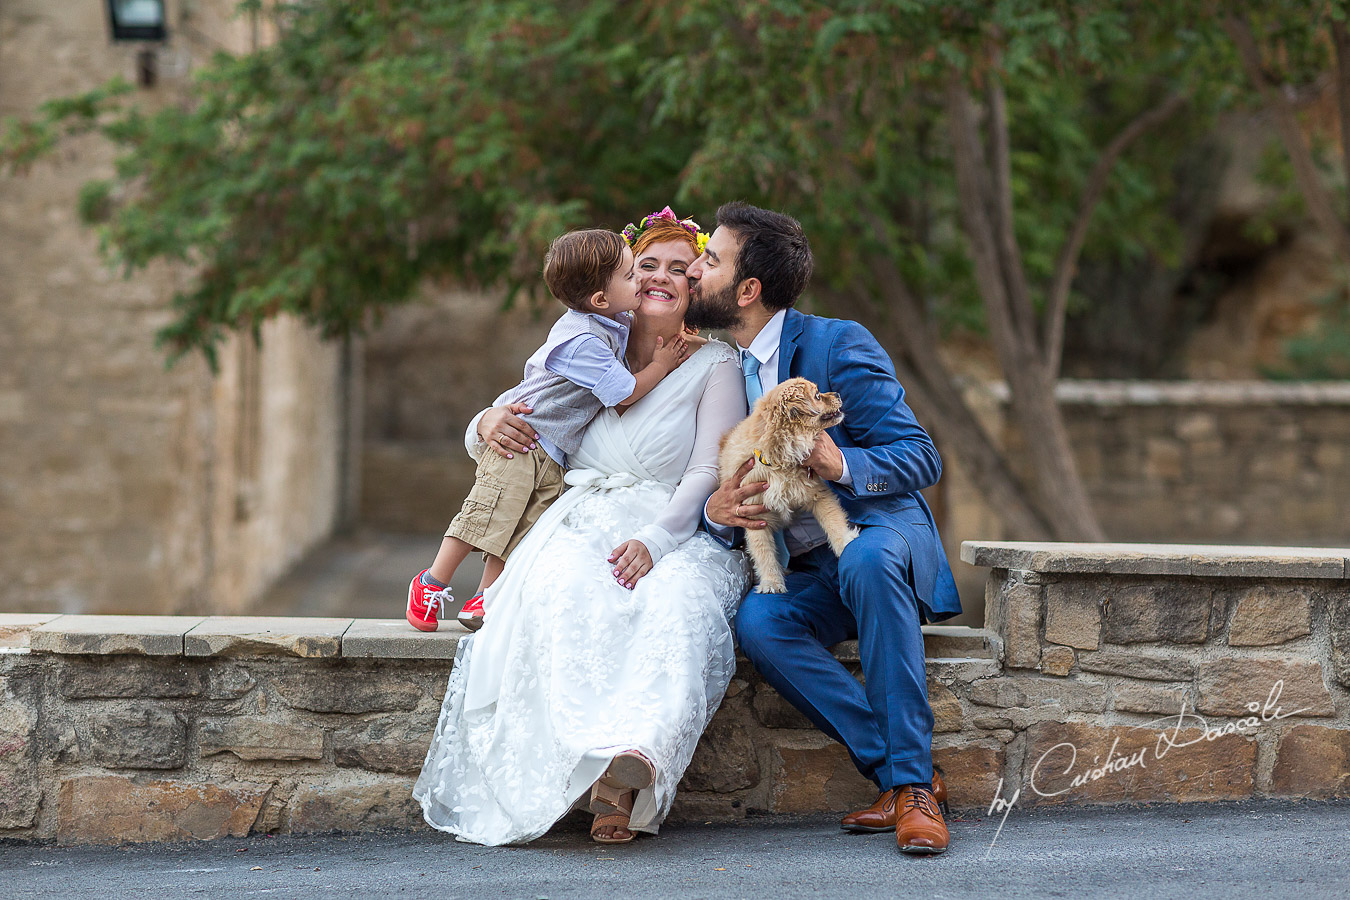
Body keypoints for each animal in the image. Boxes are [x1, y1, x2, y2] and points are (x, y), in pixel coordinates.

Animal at [718, 377, 853, 593]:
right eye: (817, 396)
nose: (838, 394)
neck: (779, 461)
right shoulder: (755, 516)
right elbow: (764, 553)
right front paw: (771, 582)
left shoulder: (819, 495)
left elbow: (833, 522)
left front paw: (846, 542)